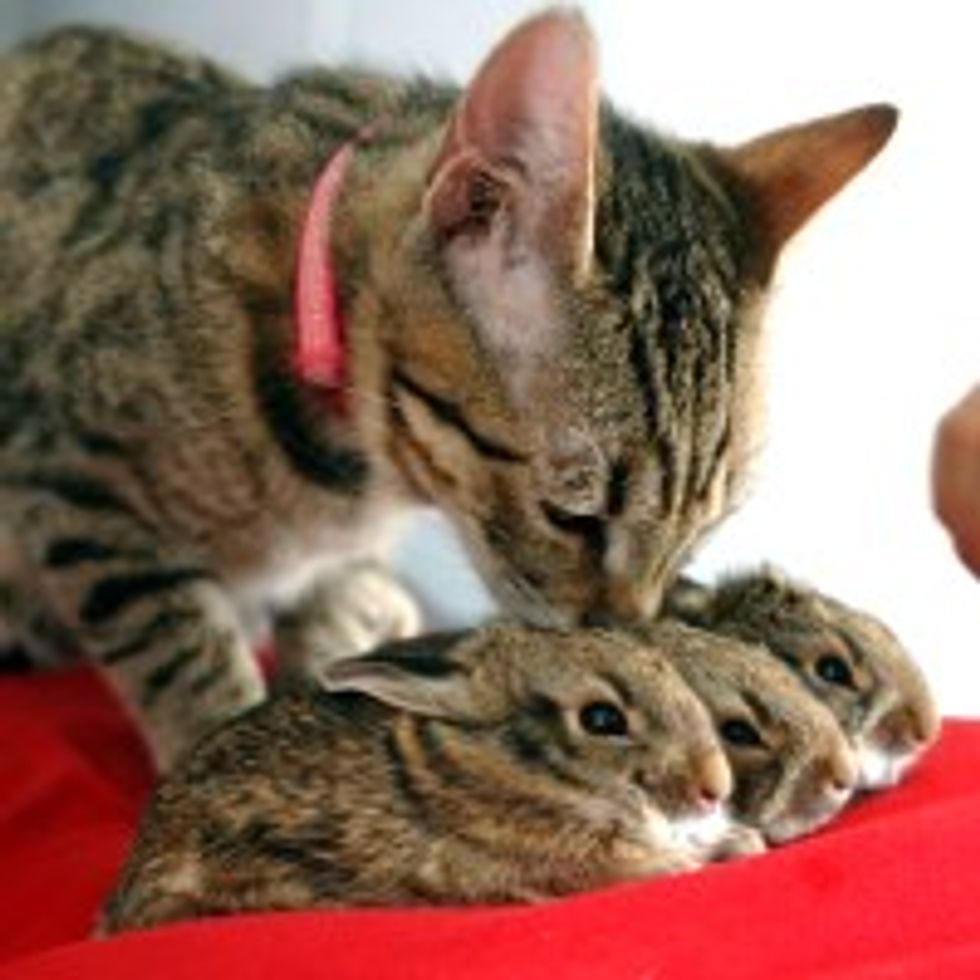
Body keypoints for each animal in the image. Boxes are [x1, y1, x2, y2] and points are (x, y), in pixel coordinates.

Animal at [0, 11, 896, 768]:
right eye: (573, 517)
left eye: (702, 534)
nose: (626, 634)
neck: (344, 486)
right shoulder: (76, 489)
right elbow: (181, 649)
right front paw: (214, 742)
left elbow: (331, 612)